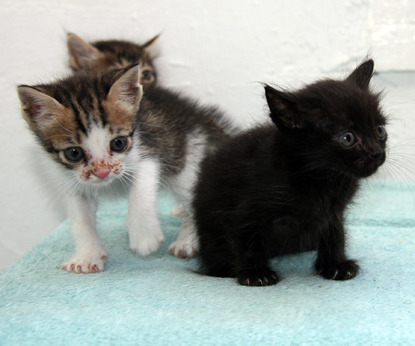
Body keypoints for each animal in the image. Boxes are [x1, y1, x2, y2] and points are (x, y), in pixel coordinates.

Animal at [17, 63, 234, 272]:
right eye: (74, 153)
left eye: (118, 143)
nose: (102, 172)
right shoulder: (70, 180)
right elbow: (80, 218)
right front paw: (86, 257)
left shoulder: (151, 147)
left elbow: (142, 187)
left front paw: (143, 234)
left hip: (186, 158)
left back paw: (187, 241)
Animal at [193, 60, 388, 286]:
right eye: (347, 138)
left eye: (380, 130)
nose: (377, 153)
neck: (319, 178)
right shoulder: (247, 208)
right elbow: (247, 238)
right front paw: (255, 273)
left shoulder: (333, 212)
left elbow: (334, 234)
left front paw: (335, 265)